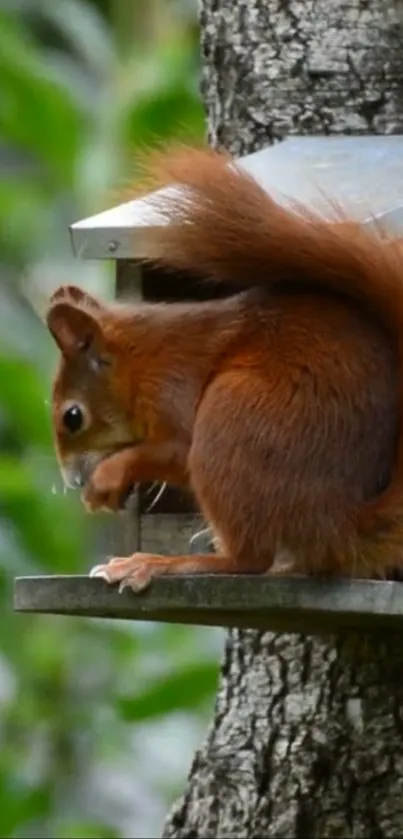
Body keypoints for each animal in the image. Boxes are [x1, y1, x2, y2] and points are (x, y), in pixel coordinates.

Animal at [45, 146, 403, 592]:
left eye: (72, 416)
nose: (73, 481)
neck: (140, 360)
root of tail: (338, 526)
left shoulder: (173, 386)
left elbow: (176, 449)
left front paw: (108, 477)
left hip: (232, 420)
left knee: (249, 559)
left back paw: (162, 563)